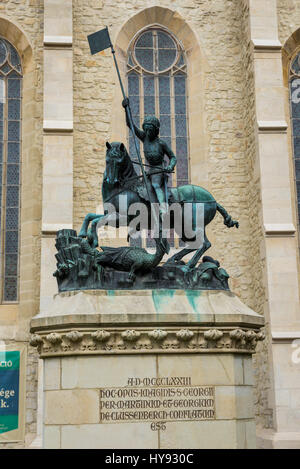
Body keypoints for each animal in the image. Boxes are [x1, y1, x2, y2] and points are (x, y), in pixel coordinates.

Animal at [78, 141, 239, 268]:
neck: (125, 188)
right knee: (197, 244)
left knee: (204, 244)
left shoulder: (123, 218)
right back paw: (174, 260)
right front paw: (83, 234)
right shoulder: (111, 215)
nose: (111, 181)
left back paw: (188, 266)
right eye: (107, 160)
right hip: (183, 227)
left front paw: (93, 239)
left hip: (192, 225)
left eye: (119, 162)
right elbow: (90, 216)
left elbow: (96, 221)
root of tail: (213, 200)